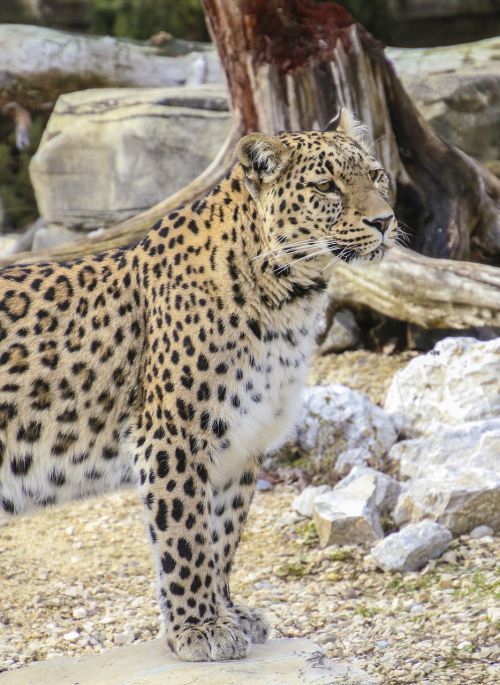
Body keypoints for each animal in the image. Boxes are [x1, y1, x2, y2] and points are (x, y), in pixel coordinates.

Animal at [0, 109, 398, 660]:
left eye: (376, 175)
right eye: (326, 186)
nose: (385, 221)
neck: (289, 298)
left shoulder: (242, 441)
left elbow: (222, 535)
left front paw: (227, 614)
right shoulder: (173, 436)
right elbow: (185, 534)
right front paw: (199, 627)